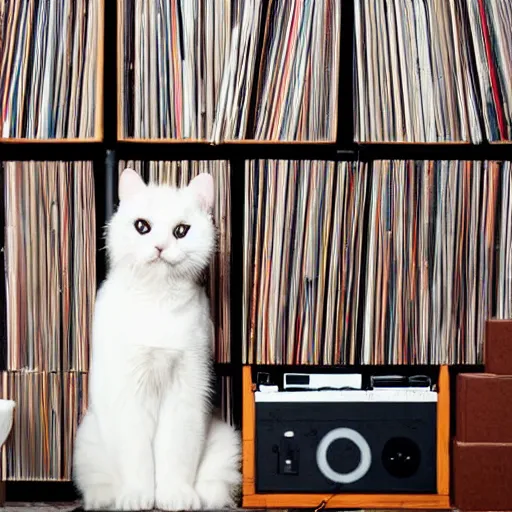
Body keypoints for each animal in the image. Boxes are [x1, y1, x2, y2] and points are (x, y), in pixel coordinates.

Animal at [72, 168, 242, 508]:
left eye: (181, 230)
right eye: (142, 226)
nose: (161, 246)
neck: (157, 300)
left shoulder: (185, 388)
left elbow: (175, 453)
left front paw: (174, 496)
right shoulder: (128, 392)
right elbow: (136, 456)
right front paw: (138, 496)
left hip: (226, 440)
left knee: (215, 485)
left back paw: (203, 497)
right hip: (87, 439)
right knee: (98, 484)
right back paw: (107, 498)